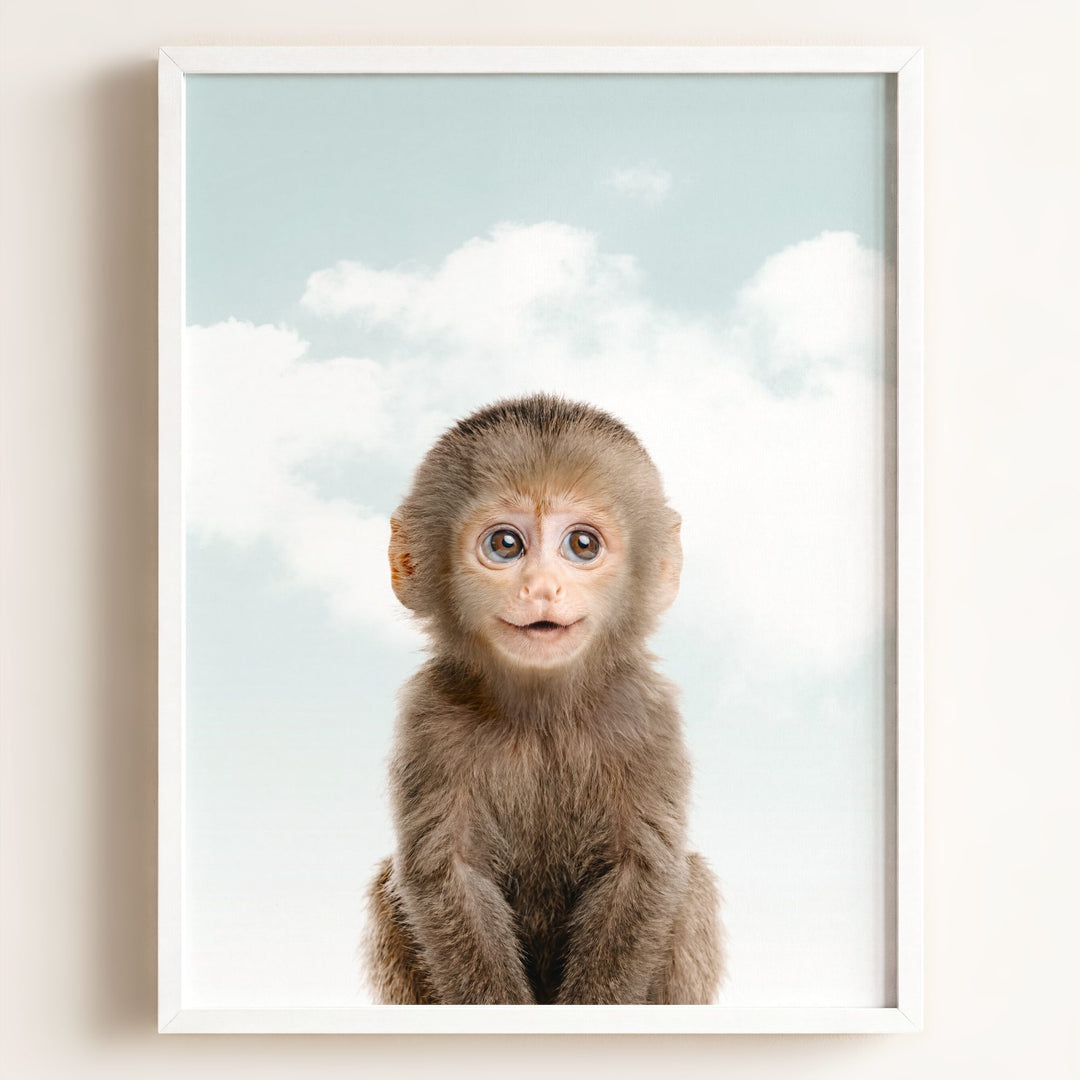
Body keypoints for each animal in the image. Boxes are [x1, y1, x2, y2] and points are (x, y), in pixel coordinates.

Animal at [364, 394, 722, 1005]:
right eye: (505, 545)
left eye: (582, 544)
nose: (542, 588)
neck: (542, 714)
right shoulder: (430, 716)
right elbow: (446, 873)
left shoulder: (646, 714)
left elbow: (643, 871)